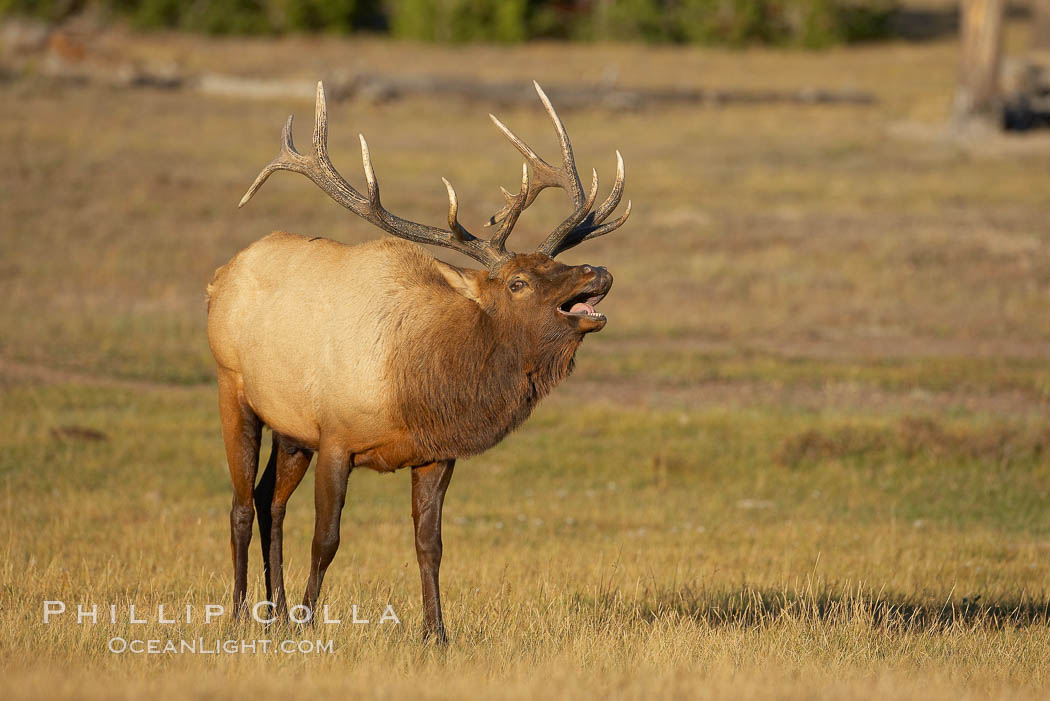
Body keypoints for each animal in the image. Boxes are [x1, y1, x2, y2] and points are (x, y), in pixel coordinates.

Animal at [208, 80, 625, 642]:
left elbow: (431, 544)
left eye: (553, 262)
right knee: (240, 504)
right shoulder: (336, 436)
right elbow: (327, 539)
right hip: (233, 389)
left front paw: (436, 633)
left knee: (269, 499)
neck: (420, 385)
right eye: (517, 282)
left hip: (291, 428)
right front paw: (310, 622)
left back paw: (274, 613)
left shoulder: (434, 453)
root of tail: (219, 278)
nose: (596, 271)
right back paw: (238, 614)